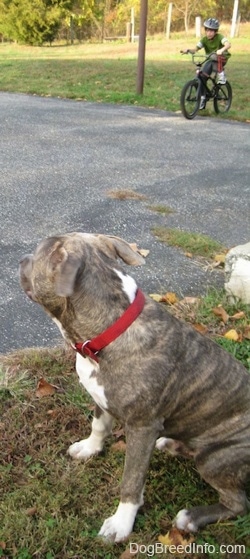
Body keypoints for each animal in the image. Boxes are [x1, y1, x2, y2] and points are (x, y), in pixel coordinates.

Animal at [20, 232, 250, 544]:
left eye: (38, 253)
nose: (22, 259)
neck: (109, 329)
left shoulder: (142, 427)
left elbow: (131, 480)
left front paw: (121, 523)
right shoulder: (101, 400)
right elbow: (99, 426)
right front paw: (89, 449)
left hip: (216, 459)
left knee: (238, 503)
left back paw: (192, 517)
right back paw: (171, 444)